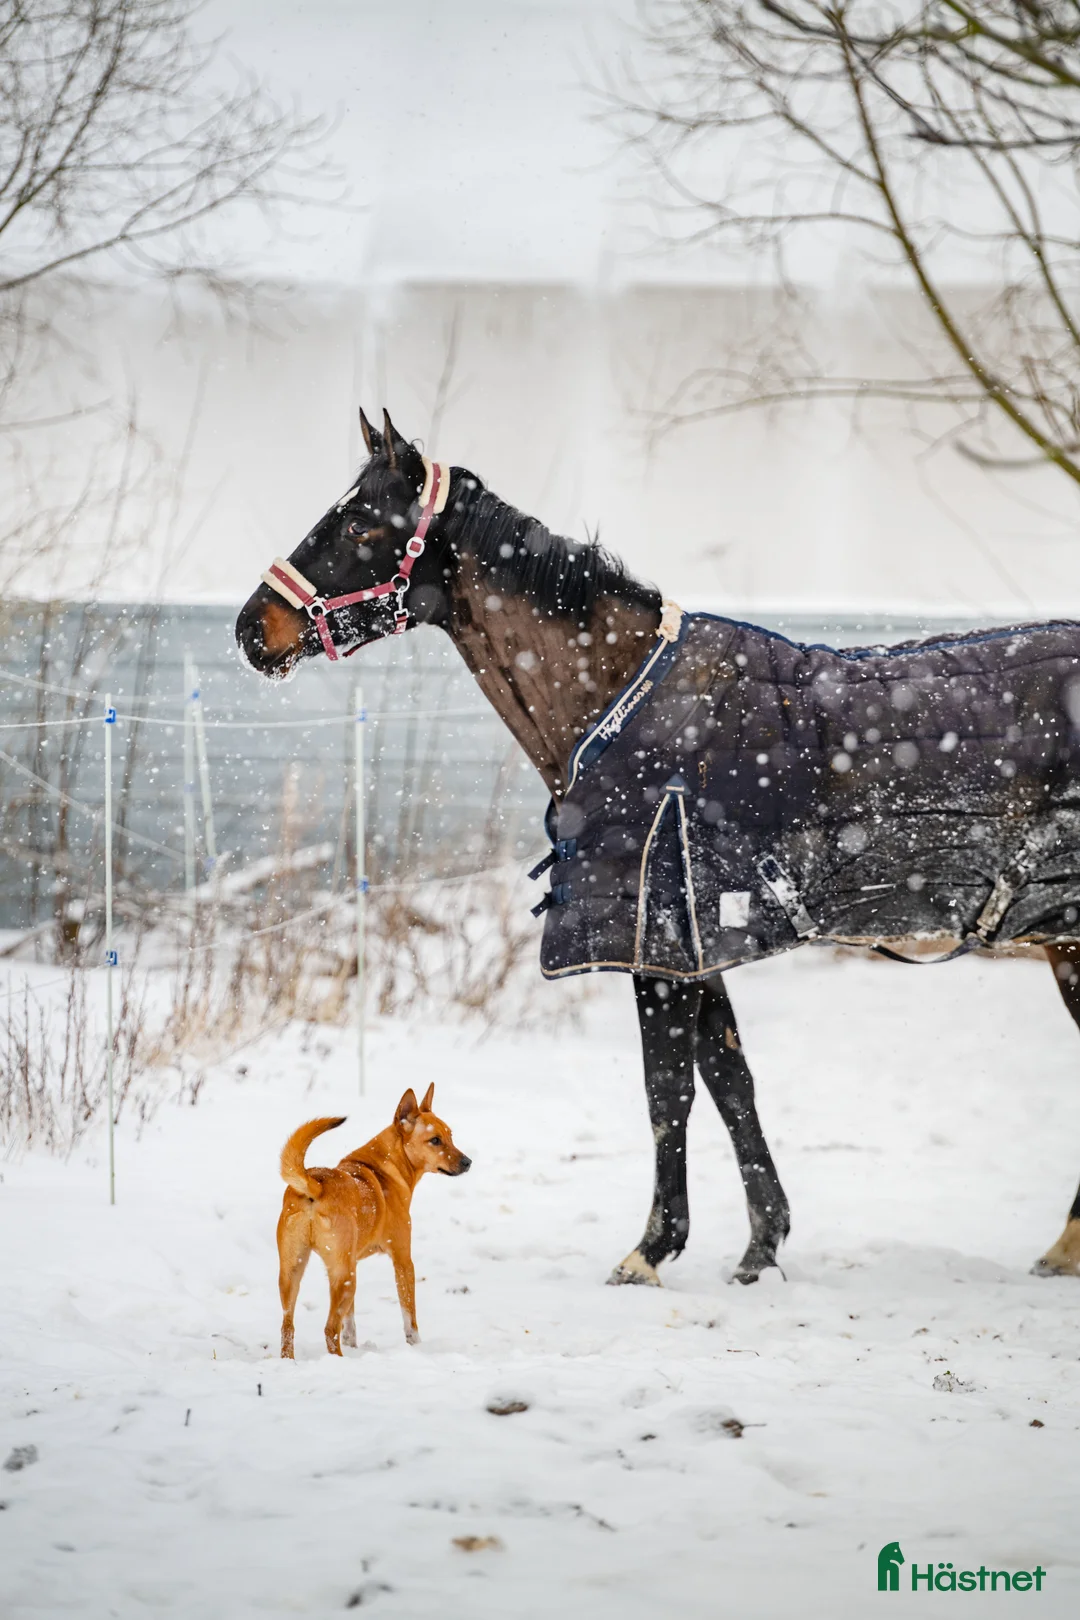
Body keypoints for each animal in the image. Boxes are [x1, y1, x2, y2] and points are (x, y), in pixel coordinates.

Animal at [235, 407, 1080, 1286]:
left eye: (363, 523)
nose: (251, 630)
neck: (616, 700)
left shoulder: (654, 942)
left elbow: (667, 1091)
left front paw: (650, 1250)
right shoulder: (691, 948)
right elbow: (730, 1080)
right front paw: (759, 1247)